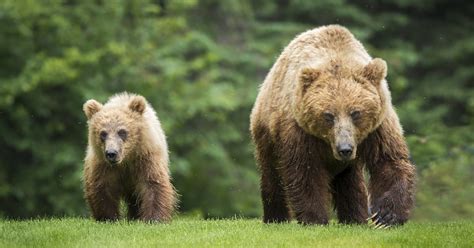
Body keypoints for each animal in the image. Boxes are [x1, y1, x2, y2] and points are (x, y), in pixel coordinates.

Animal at [82, 92, 177, 221]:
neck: (126, 159)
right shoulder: (102, 165)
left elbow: (153, 184)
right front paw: (109, 217)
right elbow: (102, 188)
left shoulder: (146, 158)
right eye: (103, 133)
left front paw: (154, 218)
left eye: (122, 131)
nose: (111, 153)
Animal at [250, 24, 416, 227]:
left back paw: (355, 217)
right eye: (328, 115)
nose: (344, 148)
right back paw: (275, 217)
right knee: (272, 174)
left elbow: (388, 161)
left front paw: (386, 215)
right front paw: (315, 218)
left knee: (351, 181)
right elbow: (305, 172)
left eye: (355, 112)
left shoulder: (378, 128)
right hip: (267, 131)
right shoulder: (300, 132)